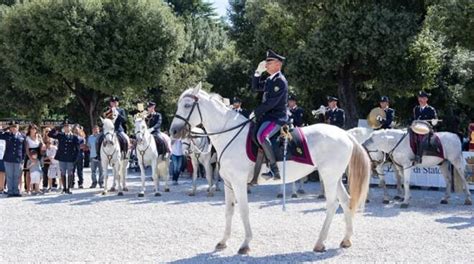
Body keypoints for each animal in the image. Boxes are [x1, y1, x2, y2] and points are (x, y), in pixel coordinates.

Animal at [168, 84, 372, 254]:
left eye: (187, 105)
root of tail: (344, 134)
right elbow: (229, 211)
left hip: (328, 177)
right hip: (335, 178)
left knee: (332, 204)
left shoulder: (239, 182)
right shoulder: (228, 183)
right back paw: (346, 240)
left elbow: (243, 210)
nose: (173, 132)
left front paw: (245, 244)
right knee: (346, 201)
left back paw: (320, 243)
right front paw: (223, 242)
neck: (231, 135)